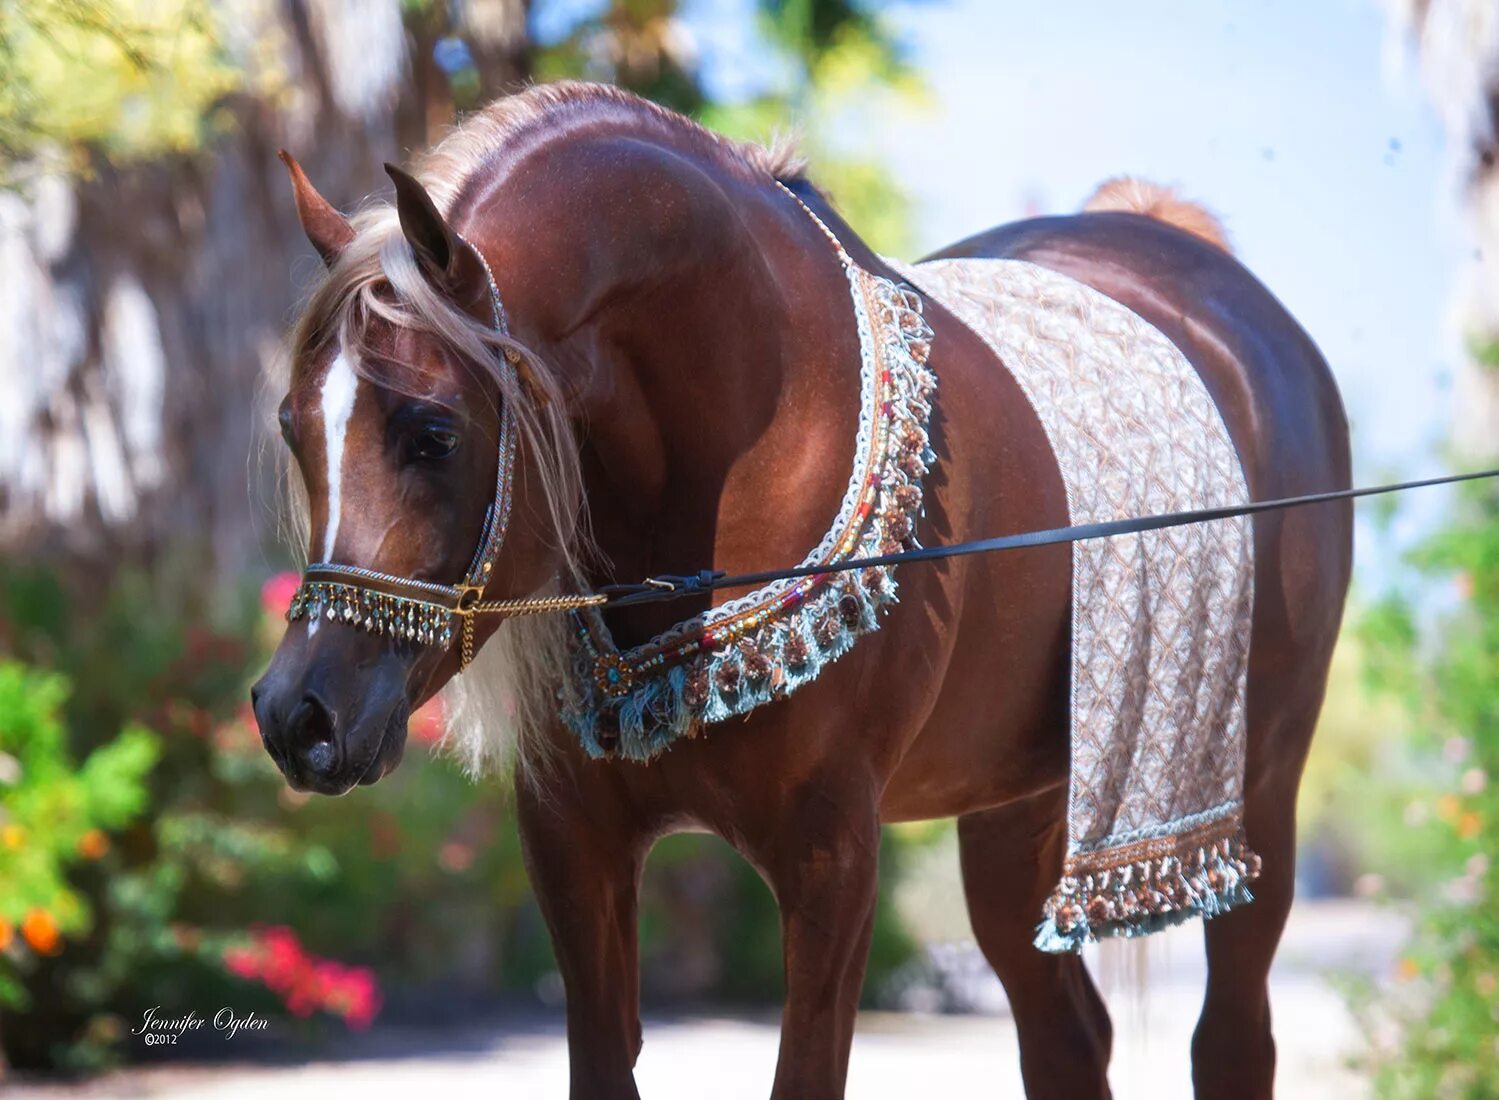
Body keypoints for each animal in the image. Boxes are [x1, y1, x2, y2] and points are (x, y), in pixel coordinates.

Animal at [251, 81, 1355, 1097]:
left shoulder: (831, 853)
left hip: (1256, 788)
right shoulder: (572, 839)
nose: (298, 713)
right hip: (1017, 810)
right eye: (293, 428)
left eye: (432, 432)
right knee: (1067, 1040)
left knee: (1229, 1041)